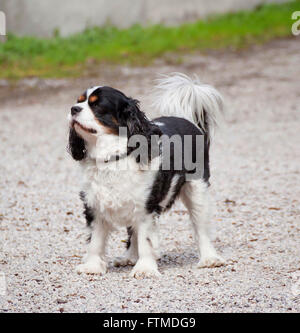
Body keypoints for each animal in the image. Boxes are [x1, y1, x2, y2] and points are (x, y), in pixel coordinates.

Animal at [68, 73, 225, 278]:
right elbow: (96, 240)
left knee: (201, 227)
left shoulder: (147, 206)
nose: (73, 109)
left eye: (97, 106)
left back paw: (209, 258)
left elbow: (146, 239)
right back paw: (128, 257)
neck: (113, 156)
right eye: (79, 101)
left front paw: (144, 268)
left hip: (197, 191)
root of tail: (187, 120)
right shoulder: (95, 205)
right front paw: (92, 266)